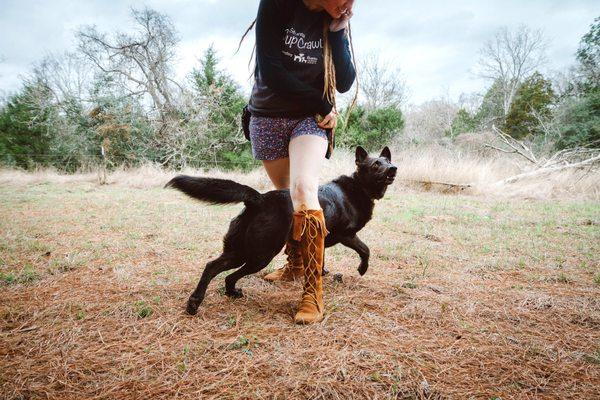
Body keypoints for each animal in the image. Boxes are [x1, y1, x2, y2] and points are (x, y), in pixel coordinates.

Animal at [166, 145, 396, 314]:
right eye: (376, 164)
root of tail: (259, 199)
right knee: (226, 272)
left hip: (240, 250)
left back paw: (203, 300)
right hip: (260, 254)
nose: (393, 168)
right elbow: (365, 249)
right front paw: (362, 269)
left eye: (388, 161)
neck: (359, 187)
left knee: (214, 268)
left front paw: (321, 274)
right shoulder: (347, 235)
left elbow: (320, 260)